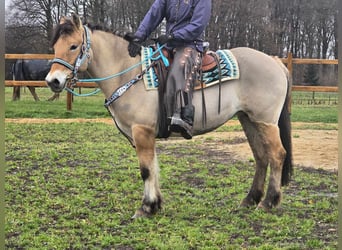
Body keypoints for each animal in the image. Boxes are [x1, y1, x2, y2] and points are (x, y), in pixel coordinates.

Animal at [44, 13, 292, 218]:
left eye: (74, 46)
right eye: (55, 45)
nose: (53, 81)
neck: (129, 73)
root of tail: (274, 61)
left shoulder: (142, 131)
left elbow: (146, 170)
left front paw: (146, 208)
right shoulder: (145, 135)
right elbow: (153, 167)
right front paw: (155, 204)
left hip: (265, 122)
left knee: (277, 155)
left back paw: (268, 202)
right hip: (248, 119)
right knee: (261, 156)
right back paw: (250, 199)